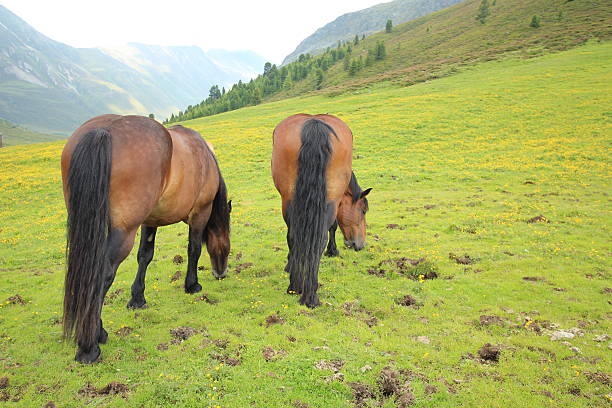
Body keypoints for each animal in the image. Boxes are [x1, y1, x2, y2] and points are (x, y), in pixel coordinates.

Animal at [60, 113, 232, 362]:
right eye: (227, 243)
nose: (221, 273)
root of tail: (104, 130)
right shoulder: (201, 212)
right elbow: (194, 249)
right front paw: (192, 285)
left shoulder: (150, 221)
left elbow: (145, 256)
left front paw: (137, 298)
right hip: (124, 232)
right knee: (102, 275)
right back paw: (90, 344)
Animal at [274, 113, 372, 308]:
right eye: (364, 210)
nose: (360, 245)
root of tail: (315, 124)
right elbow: (333, 227)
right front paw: (332, 251)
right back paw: (308, 294)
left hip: (288, 200)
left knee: (296, 237)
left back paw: (297, 288)